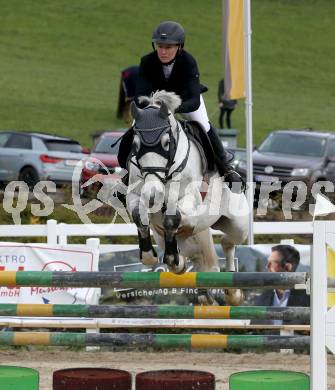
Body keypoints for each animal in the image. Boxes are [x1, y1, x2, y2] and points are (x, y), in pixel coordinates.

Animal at [125, 90, 249, 304]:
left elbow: (172, 218)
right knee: (200, 258)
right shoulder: (134, 194)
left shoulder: (190, 201)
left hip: (238, 224)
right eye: (135, 144)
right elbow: (138, 215)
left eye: (166, 143)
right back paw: (203, 291)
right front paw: (153, 256)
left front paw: (173, 259)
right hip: (181, 237)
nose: (153, 194)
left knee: (228, 242)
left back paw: (233, 294)